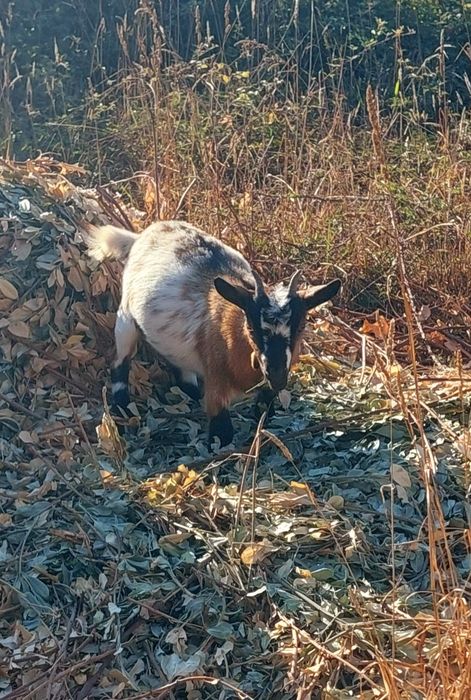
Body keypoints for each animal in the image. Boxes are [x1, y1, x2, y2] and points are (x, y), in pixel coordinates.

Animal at [84, 220, 341, 447]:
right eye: (251, 328)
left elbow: (263, 410)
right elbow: (222, 433)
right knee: (121, 360)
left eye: (301, 326)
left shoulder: (268, 386)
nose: (276, 373)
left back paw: (191, 393)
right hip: (126, 318)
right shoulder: (216, 379)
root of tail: (142, 235)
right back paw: (122, 407)